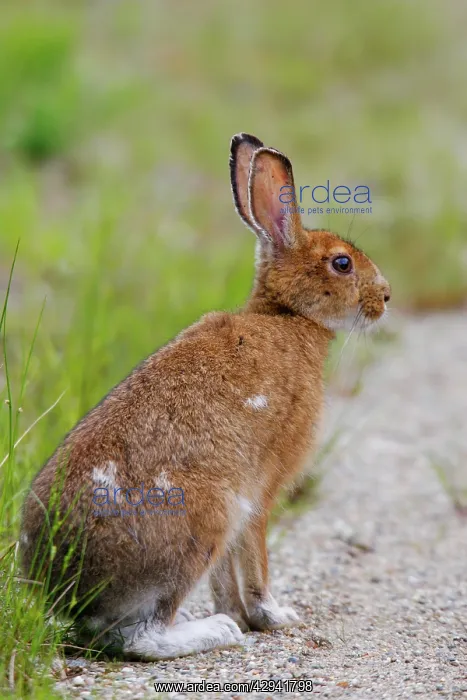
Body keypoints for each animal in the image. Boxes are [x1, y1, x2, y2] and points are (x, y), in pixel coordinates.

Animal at [20, 133, 390, 660]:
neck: (289, 317)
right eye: (342, 263)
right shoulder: (258, 494)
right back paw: (215, 630)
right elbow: (255, 560)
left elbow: (225, 577)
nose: (386, 297)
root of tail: (67, 589)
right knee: (140, 637)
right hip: (202, 520)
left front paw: (240, 612)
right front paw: (273, 616)